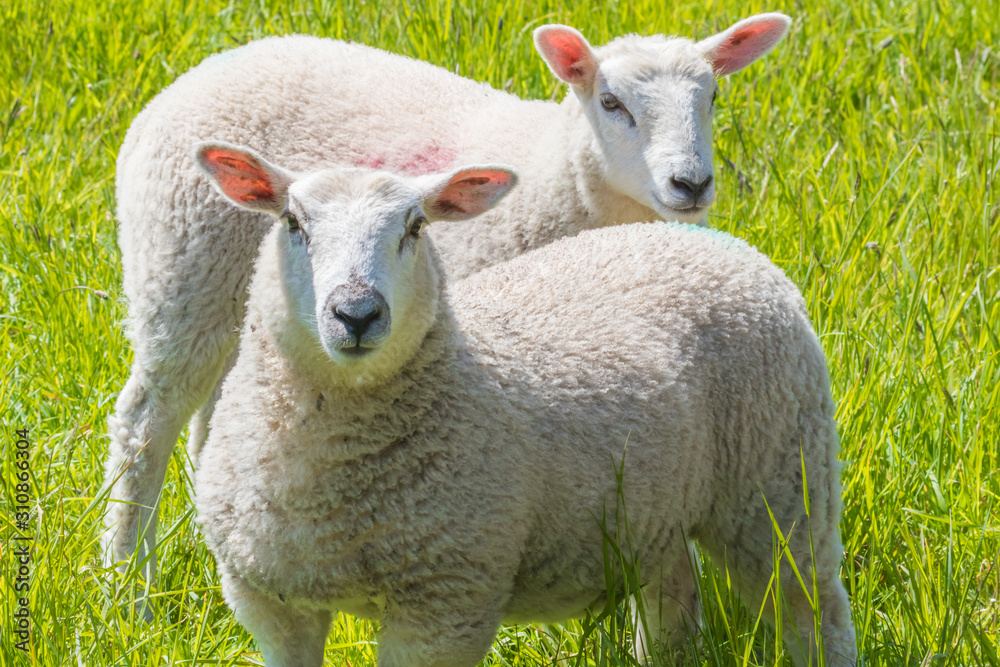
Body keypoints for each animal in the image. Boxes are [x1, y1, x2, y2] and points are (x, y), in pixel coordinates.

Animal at [104, 12, 794, 591]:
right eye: (611, 102)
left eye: (712, 98)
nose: (692, 184)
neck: (558, 179)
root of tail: (202, 71)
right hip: (181, 271)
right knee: (144, 423)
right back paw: (126, 586)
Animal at [193, 142, 857, 667]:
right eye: (293, 222)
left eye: (415, 227)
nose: (356, 313)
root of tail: (707, 238)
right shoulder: (269, 602)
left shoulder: (444, 604)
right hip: (659, 503)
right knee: (673, 602)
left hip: (782, 479)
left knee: (815, 610)